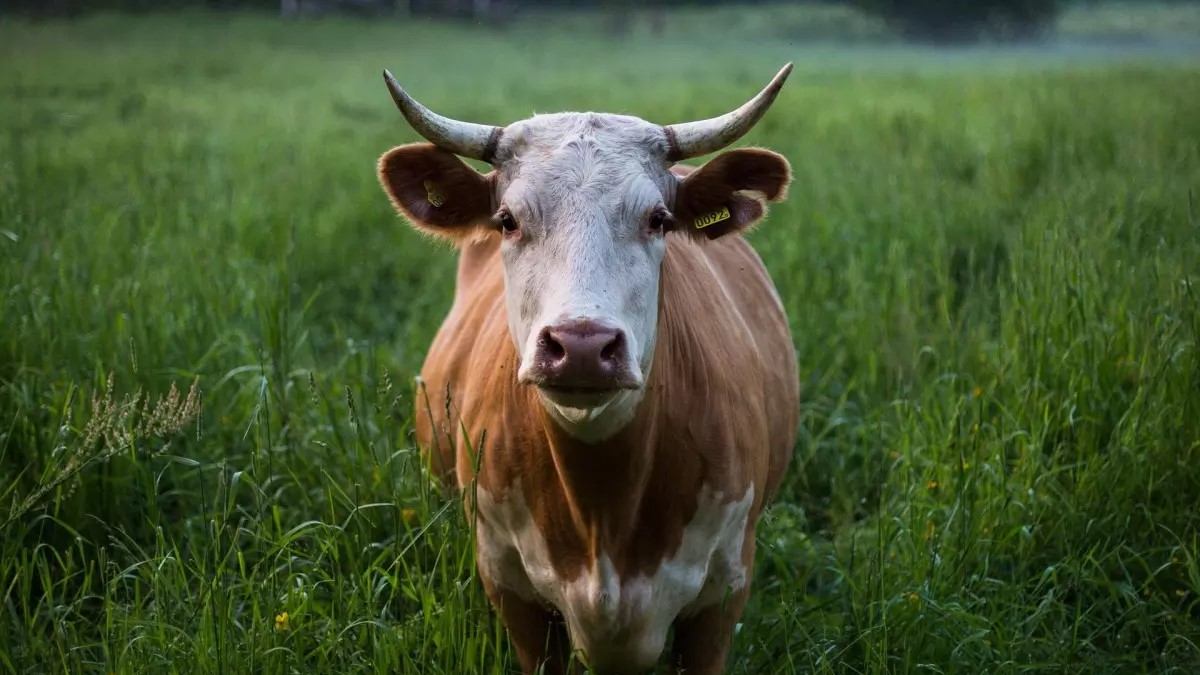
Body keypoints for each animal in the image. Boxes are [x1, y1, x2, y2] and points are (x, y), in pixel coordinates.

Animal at [374, 64, 801, 672]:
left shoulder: (723, 595)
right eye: (507, 220)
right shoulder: (510, 588)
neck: (604, 513)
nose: (580, 345)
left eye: (659, 219)